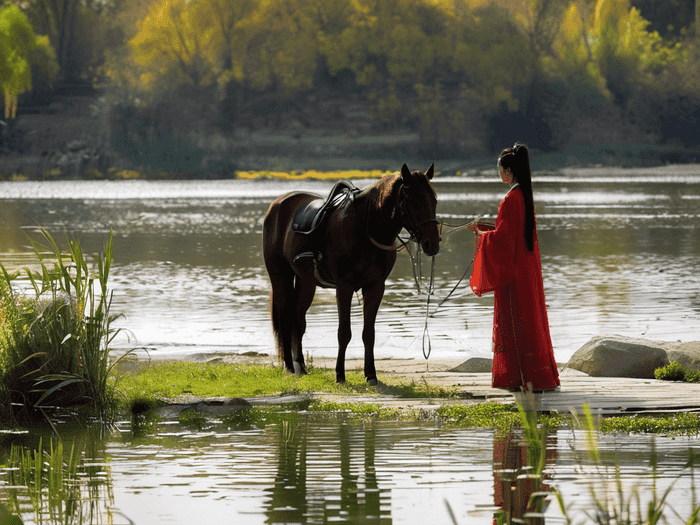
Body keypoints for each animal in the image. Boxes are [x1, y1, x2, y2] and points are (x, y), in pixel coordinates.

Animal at [262, 164, 438, 384]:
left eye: (434, 200)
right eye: (413, 201)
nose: (433, 243)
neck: (364, 229)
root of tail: (277, 204)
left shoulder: (375, 287)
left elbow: (368, 333)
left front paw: (371, 374)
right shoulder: (344, 287)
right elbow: (344, 333)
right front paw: (340, 374)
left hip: (306, 282)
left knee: (298, 320)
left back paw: (300, 365)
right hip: (280, 277)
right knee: (285, 318)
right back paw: (288, 365)